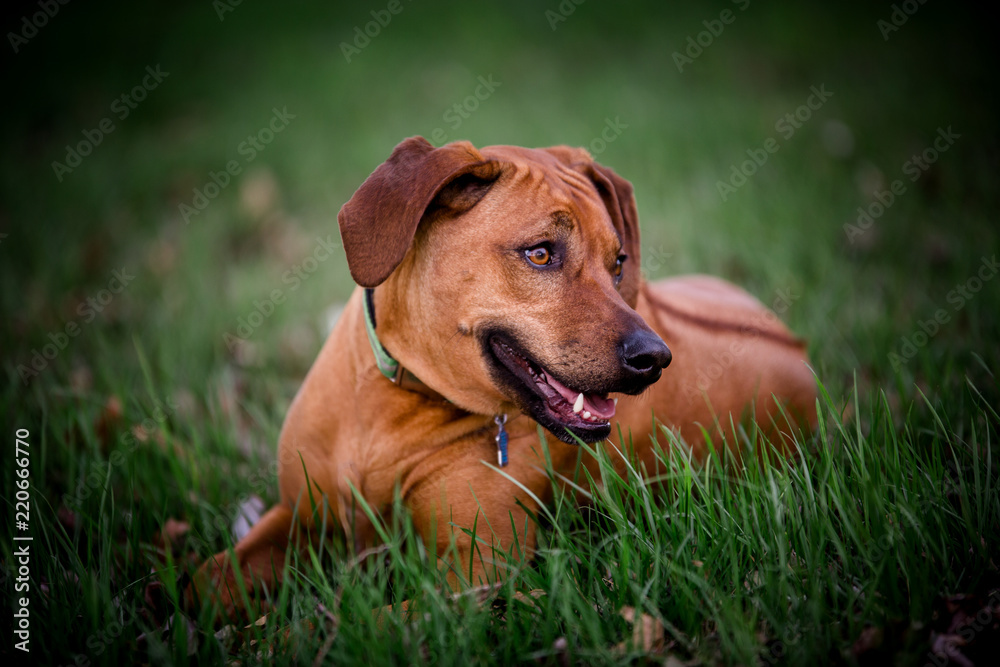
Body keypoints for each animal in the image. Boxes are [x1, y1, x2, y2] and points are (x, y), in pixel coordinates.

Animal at [191, 138, 816, 620]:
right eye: (540, 254)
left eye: (618, 263)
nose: (655, 358)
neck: (399, 399)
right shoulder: (298, 516)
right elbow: (209, 574)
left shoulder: (478, 571)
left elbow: (352, 621)